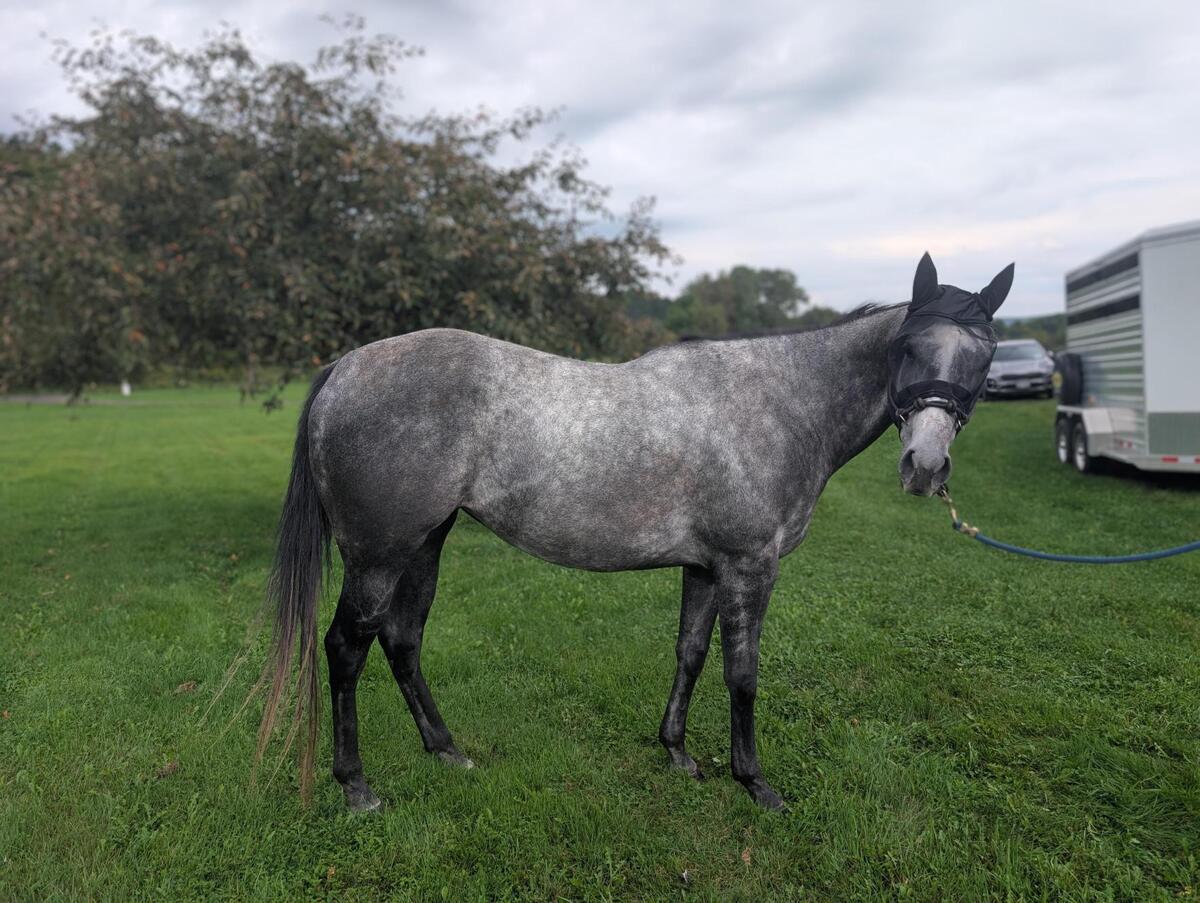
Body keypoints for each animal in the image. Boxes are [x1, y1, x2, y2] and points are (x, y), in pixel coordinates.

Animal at [256, 251, 1013, 810]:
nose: (925, 465)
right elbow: (743, 673)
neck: (780, 402)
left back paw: (447, 750)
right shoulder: (749, 565)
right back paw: (357, 787)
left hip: (424, 544)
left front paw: (677, 751)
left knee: (402, 641)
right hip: (377, 555)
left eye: (985, 357)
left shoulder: (706, 566)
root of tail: (345, 367)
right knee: (346, 648)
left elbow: (691, 653)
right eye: (908, 347)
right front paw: (755, 782)